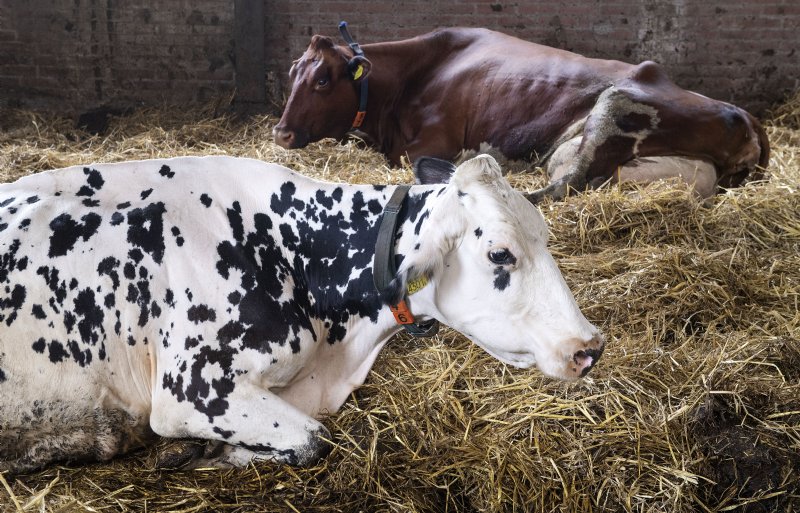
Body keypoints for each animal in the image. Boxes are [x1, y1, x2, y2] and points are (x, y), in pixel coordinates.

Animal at [0, 154, 603, 473]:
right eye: (500, 254)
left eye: (545, 235)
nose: (590, 347)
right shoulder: (192, 390)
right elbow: (313, 438)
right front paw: (212, 451)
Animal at [273, 26, 770, 201]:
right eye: (293, 71)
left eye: (322, 80)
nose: (280, 133)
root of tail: (744, 116)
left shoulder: (430, 142)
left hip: (618, 103)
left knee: (558, 187)